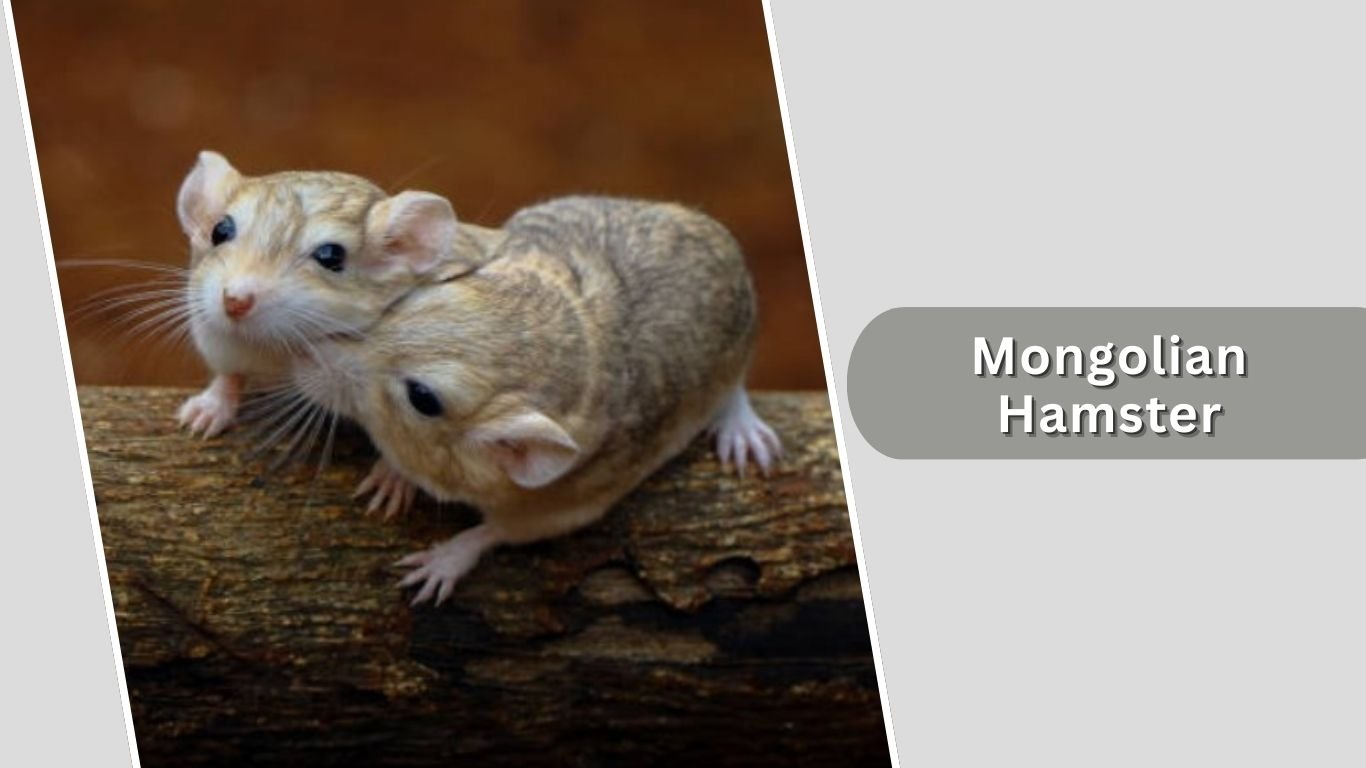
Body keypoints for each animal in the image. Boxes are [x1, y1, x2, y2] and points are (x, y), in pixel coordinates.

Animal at [172, 150, 503, 436]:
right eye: (220, 231)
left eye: (331, 255)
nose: (234, 302)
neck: (274, 349)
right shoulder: (218, 340)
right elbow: (229, 376)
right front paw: (199, 419)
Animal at [292, 196, 783, 605]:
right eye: (405, 304)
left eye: (423, 398)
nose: (305, 353)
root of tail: (721, 238)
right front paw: (389, 481)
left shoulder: (561, 508)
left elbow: (492, 531)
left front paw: (429, 572)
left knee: (735, 392)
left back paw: (747, 439)